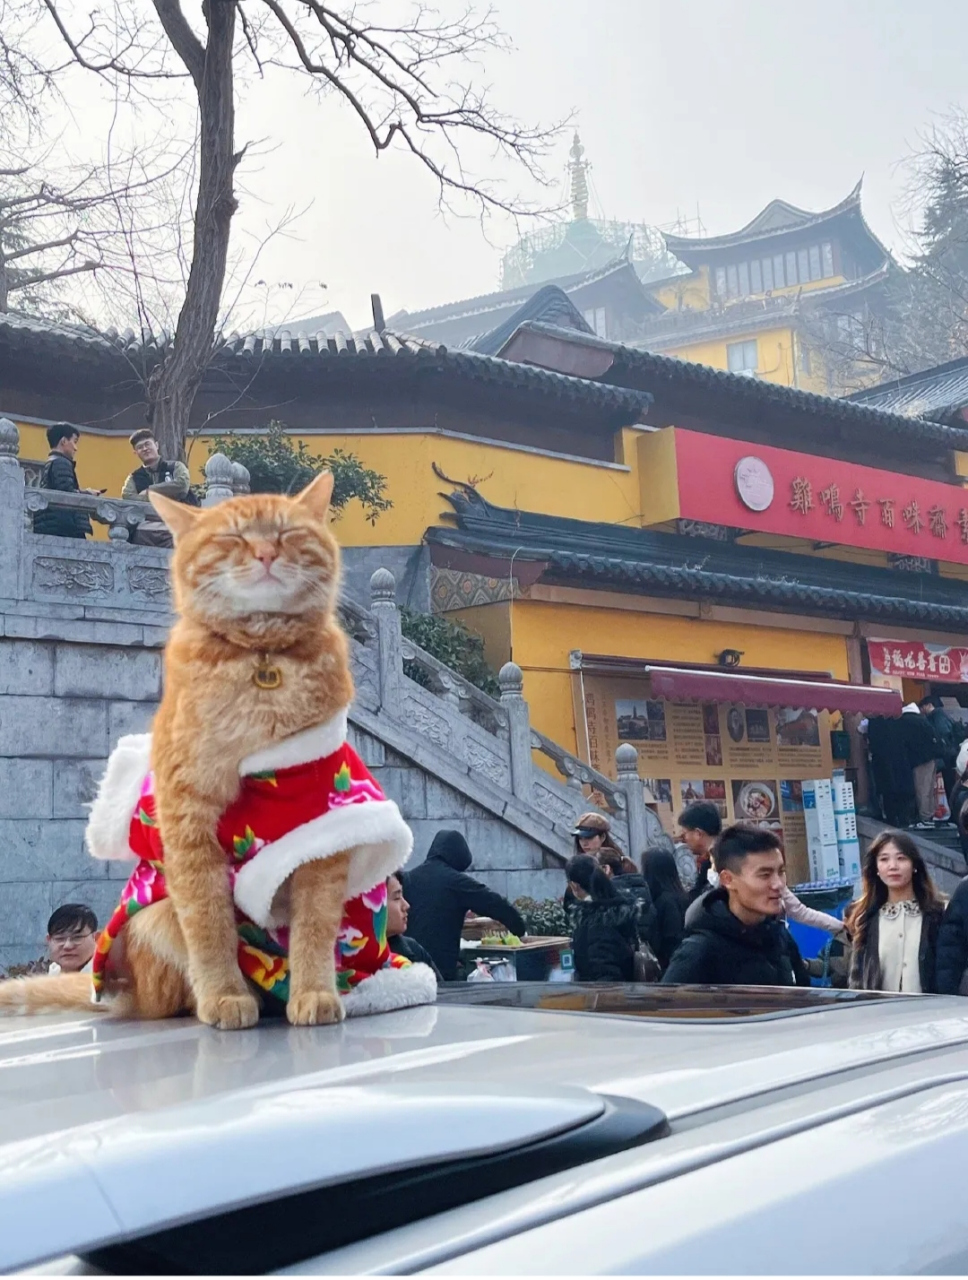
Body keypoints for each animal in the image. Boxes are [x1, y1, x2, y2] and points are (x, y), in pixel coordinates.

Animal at [1, 473, 358, 1029]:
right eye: (232, 538)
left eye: (286, 533)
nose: (265, 553)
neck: (261, 665)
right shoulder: (188, 820)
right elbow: (208, 924)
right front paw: (225, 997)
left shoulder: (321, 823)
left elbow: (317, 927)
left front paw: (315, 992)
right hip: (153, 920)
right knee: (167, 993)